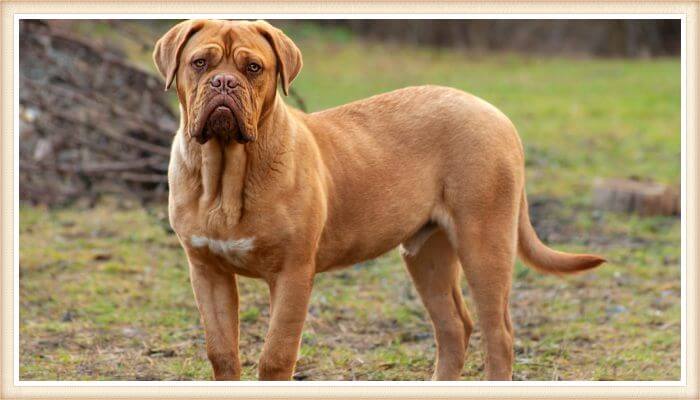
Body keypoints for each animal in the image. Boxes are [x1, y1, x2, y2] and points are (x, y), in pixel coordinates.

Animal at [154, 18, 608, 382]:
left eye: (253, 68)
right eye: (200, 63)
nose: (224, 83)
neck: (225, 175)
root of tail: (497, 115)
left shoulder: (292, 273)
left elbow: (276, 356)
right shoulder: (206, 270)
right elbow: (222, 354)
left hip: (485, 243)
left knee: (499, 335)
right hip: (427, 253)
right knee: (454, 327)